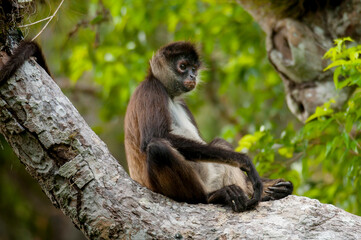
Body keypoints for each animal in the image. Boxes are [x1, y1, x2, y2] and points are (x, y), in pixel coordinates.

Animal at [124, 41, 292, 212]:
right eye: (183, 66)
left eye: (193, 68)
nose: (193, 76)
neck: (170, 96)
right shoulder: (151, 89)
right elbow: (155, 137)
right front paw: (244, 160)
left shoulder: (182, 103)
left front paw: (268, 186)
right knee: (158, 148)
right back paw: (212, 197)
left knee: (219, 143)